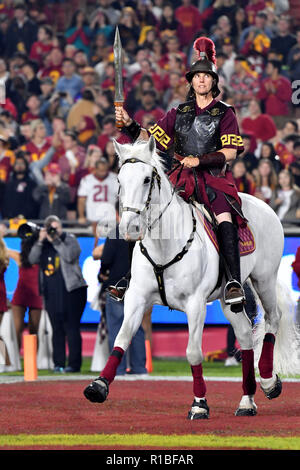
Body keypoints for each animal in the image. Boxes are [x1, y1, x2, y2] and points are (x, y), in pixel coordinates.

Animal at [84, 137, 300, 418]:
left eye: (146, 179)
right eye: (120, 180)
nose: (129, 227)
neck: (164, 246)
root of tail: (264, 205)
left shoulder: (195, 304)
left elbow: (193, 352)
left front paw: (199, 403)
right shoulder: (136, 300)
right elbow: (121, 340)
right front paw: (99, 385)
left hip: (264, 280)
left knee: (273, 320)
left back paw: (267, 381)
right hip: (229, 297)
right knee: (244, 335)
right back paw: (247, 400)